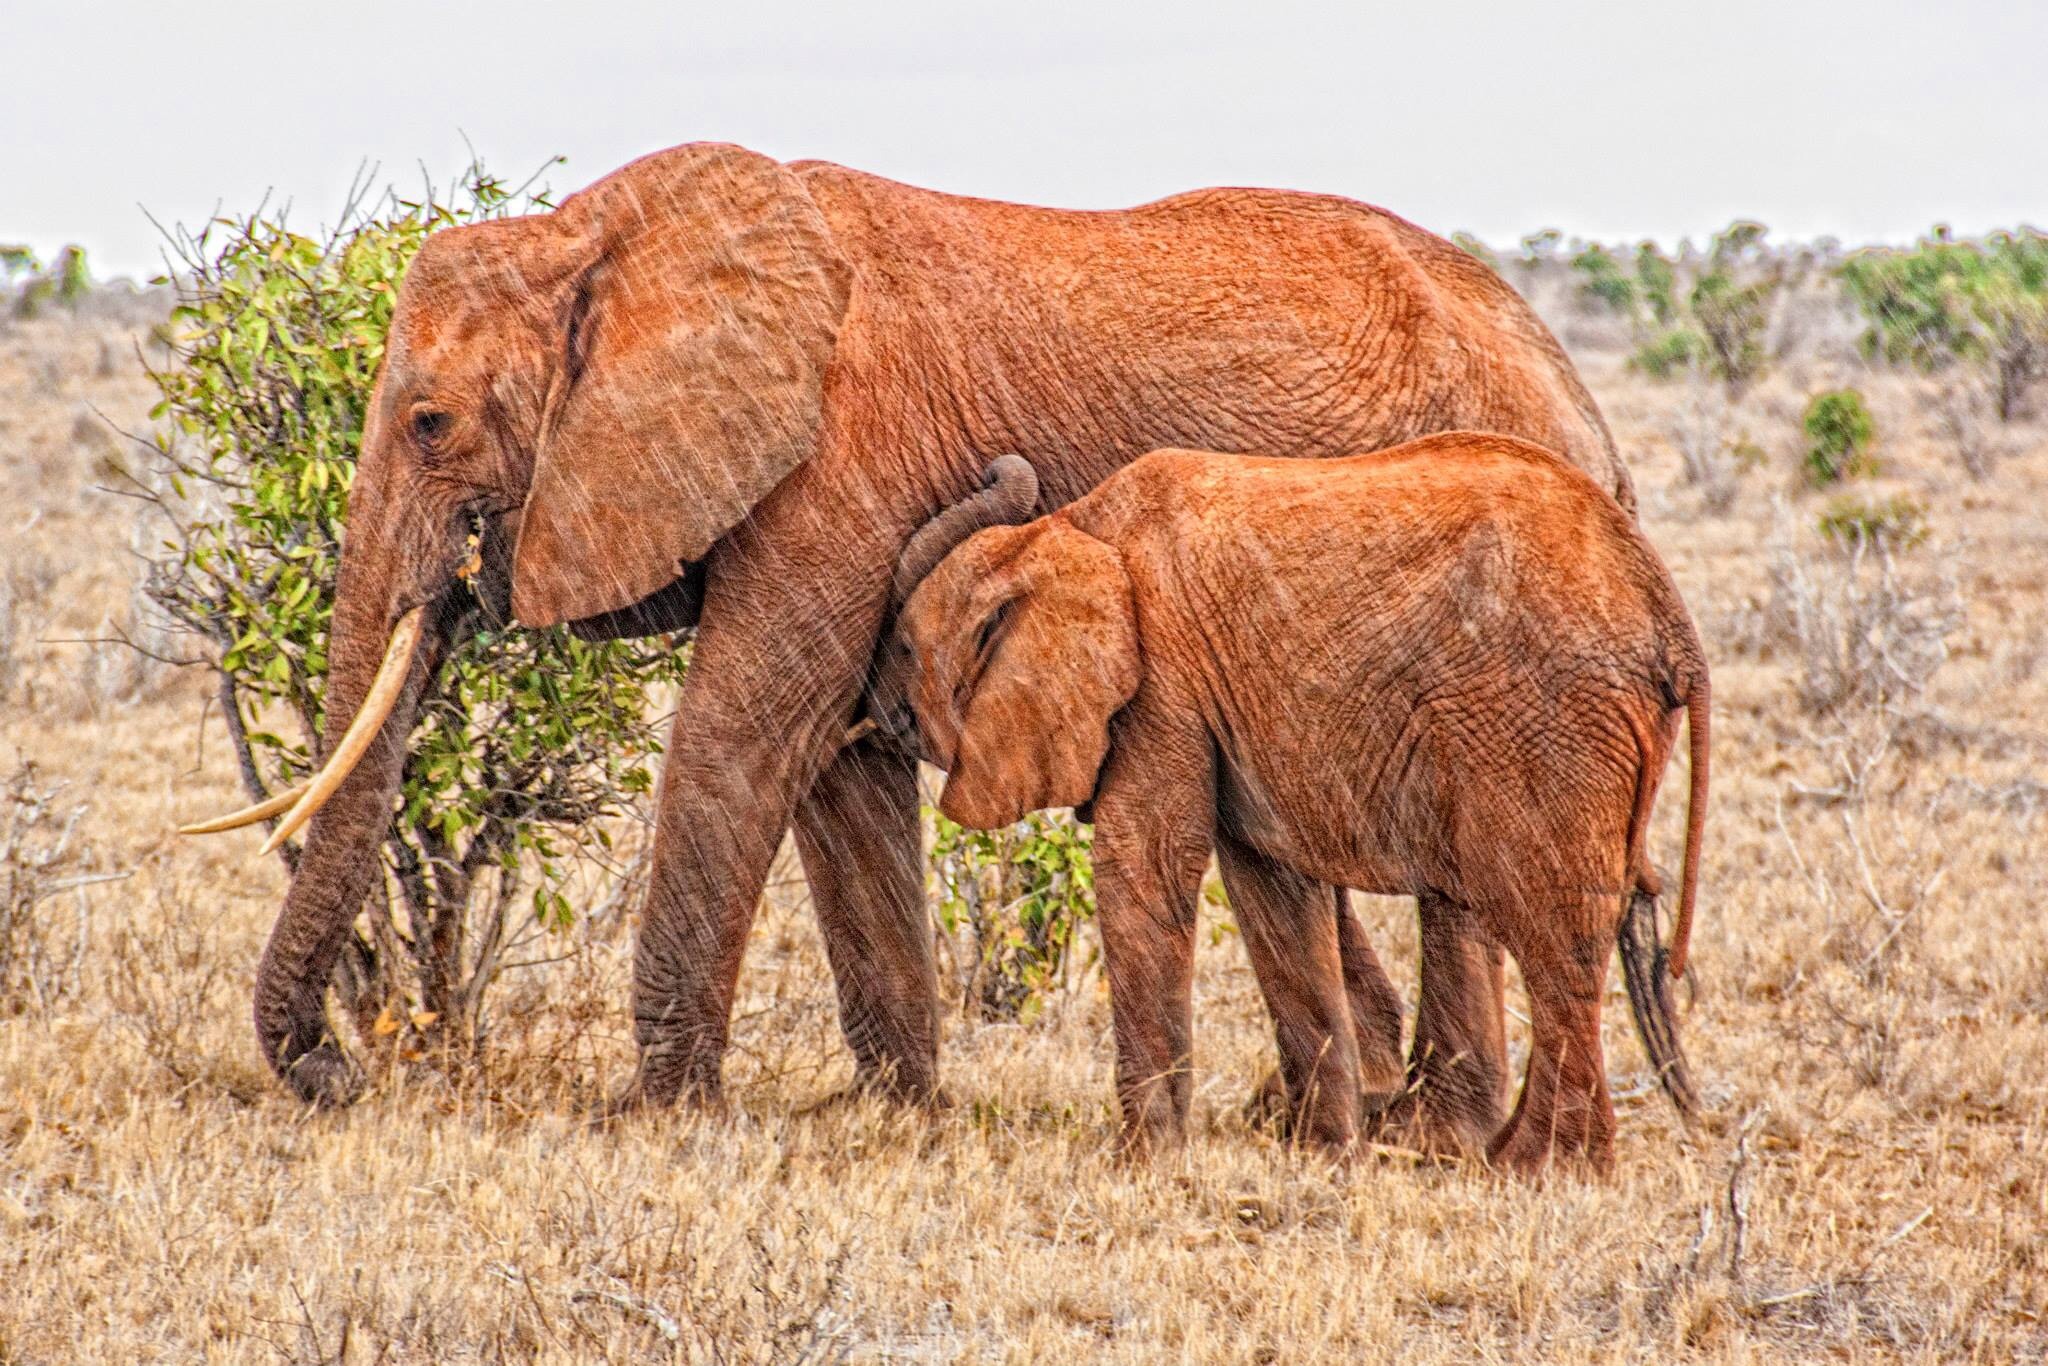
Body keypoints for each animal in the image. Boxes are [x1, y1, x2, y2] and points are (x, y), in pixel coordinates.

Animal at [180, 140, 1648, 1128]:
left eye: (427, 422)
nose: (340, 1072)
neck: (598, 234)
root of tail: (1582, 400)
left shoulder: (843, 463)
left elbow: (745, 736)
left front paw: (654, 1118)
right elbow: (835, 768)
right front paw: (892, 1111)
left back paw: (1431, 1127)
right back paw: (1327, 1121)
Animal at [882, 435, 1710, 1175]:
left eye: (906, 650)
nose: (883, 716)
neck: (1069, 529)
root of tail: (1672, 622)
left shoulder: (1163, 687)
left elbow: (1145, 866)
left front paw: (1139, 1165)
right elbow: (1271, 889)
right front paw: (1323, 1155)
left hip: (1546, 724)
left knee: (1551, 929)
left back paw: (1542, 1170)